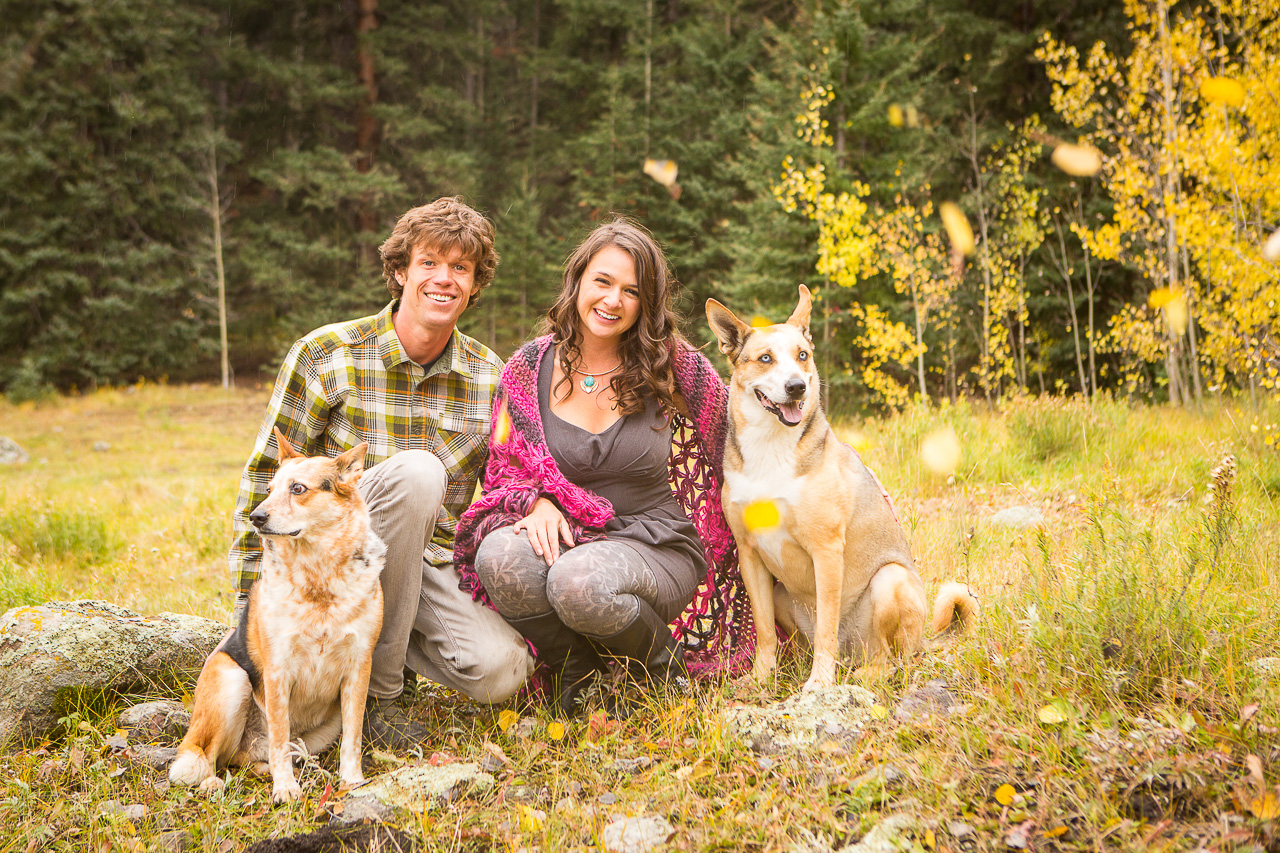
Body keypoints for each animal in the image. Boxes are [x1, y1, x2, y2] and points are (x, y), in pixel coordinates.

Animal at [711, 285, 967, 691]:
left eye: (803, 355)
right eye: (765, 358)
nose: (797, 386)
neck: (771, 446)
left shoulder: (826, 552)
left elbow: (826, 629)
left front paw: (819, 683)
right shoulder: (749, 554)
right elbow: (764, 630)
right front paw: (761, 677)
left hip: (890, 581)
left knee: (891, 658)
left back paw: (865, 673)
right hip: (781, 593)